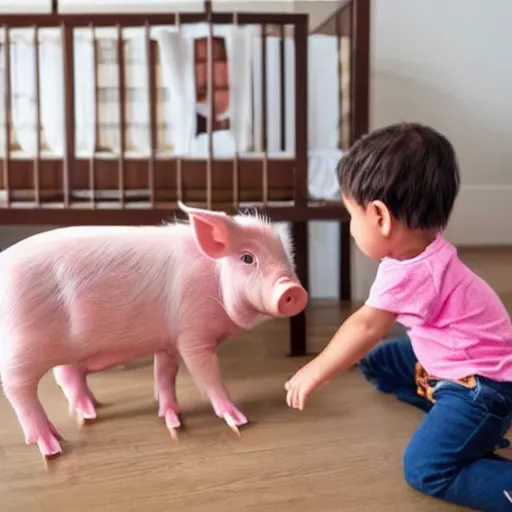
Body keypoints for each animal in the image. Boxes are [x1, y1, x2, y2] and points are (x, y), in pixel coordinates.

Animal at [0, 202, 308, 458]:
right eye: (247, 258)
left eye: (283, 256)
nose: (294, 291)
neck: (213, 282)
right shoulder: (192, 333)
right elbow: (206, 375)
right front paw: (239, 420)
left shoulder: (167, 341)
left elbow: (165, 375)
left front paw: (173, 419)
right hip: (23, 344)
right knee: (17, 386)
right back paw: (52, 446)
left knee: (66, 375)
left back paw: (91, 410)